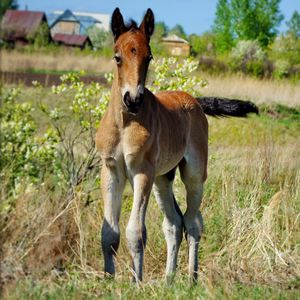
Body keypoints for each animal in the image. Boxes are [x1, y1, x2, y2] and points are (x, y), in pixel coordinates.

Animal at [96, 8, 258, 282]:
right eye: (117, 57)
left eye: (149, 57)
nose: (133, 99)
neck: (125, 123)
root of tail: (194, 100)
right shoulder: (111, 171)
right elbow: (109, 233)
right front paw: (109, 281)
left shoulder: (142, 172)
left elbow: (135, 232)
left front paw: (136, 283)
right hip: (163, 179)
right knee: (174, 223)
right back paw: (168, 281)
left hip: (193, 174)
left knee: (193, 222)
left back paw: (191, 279)